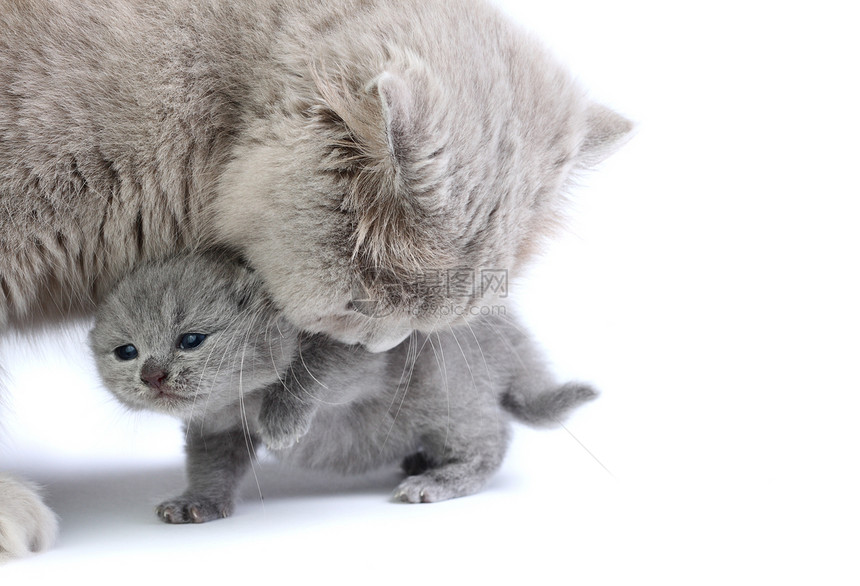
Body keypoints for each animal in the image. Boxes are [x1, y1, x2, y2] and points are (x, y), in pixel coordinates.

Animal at [89, 253, 596, 524]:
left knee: (491, 440)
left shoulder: (371, 344)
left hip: (449, 389)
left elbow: (312, 368)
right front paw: (198, 503)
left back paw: (435, 481)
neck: (245, 397)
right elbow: (210, 465)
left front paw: (283, 418)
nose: (152, 375)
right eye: (126, 351)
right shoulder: (217, 428)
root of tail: (513, 338)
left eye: (191, 340)